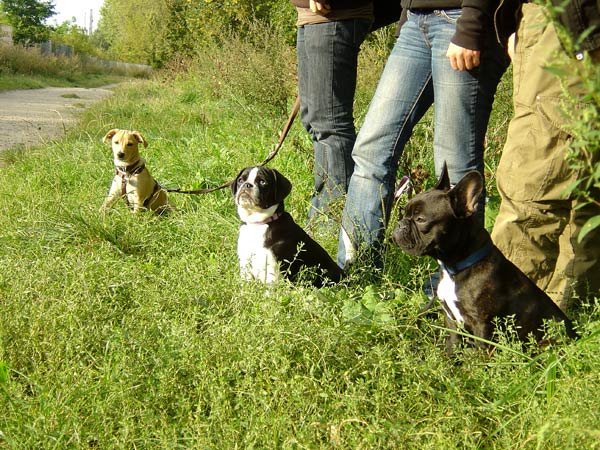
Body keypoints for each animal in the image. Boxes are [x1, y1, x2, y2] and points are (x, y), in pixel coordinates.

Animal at [392, 166, 576, 356]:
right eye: (405, 213)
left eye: (420, 219)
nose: (400, 224)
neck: (453, 268)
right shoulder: (451, 320)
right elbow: (452, 345)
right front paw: (449, 361)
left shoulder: (482, 324)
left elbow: (482, 351)